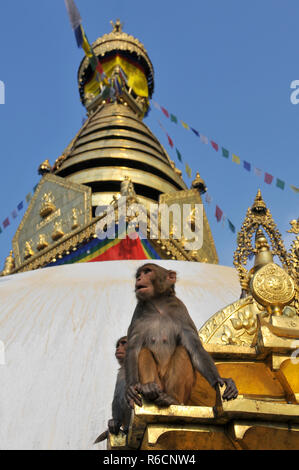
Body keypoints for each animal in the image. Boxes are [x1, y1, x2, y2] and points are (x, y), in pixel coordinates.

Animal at [126, 264, 239, 408]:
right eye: (138, 274)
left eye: (147, 271)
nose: (139, 278)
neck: (158, 304)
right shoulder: (138, 314)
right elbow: (133, 350)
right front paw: (131, 388)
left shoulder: (181, 312)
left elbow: (195, 349)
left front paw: (219, 379)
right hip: (159, 384)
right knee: (144, 351)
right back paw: (149, 389)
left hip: (185, 393)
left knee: (183, 351)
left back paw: (172, 399)